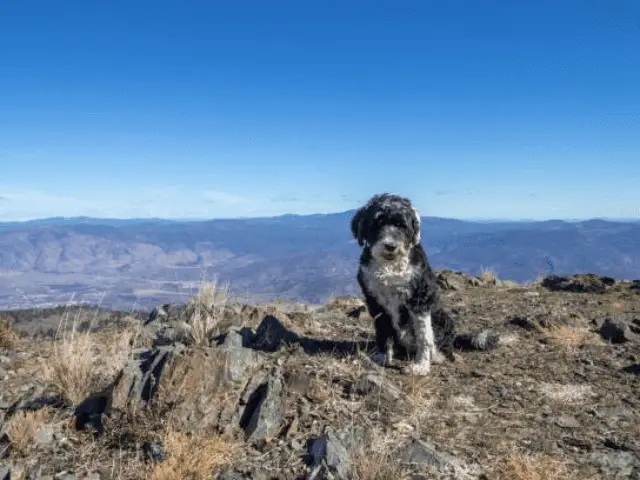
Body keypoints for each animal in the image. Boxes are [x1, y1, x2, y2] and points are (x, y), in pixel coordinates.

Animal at [352, 193, 492, 376]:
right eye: (378, 222)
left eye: (401, 224)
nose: (390, 246)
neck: (391, 267)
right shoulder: (375, 301)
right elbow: (383, 330)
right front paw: (383, 356)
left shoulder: (419, 299)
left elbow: (424, 336)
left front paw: (421, 366)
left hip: (444, 319)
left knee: (444, 347)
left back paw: (438, 356)